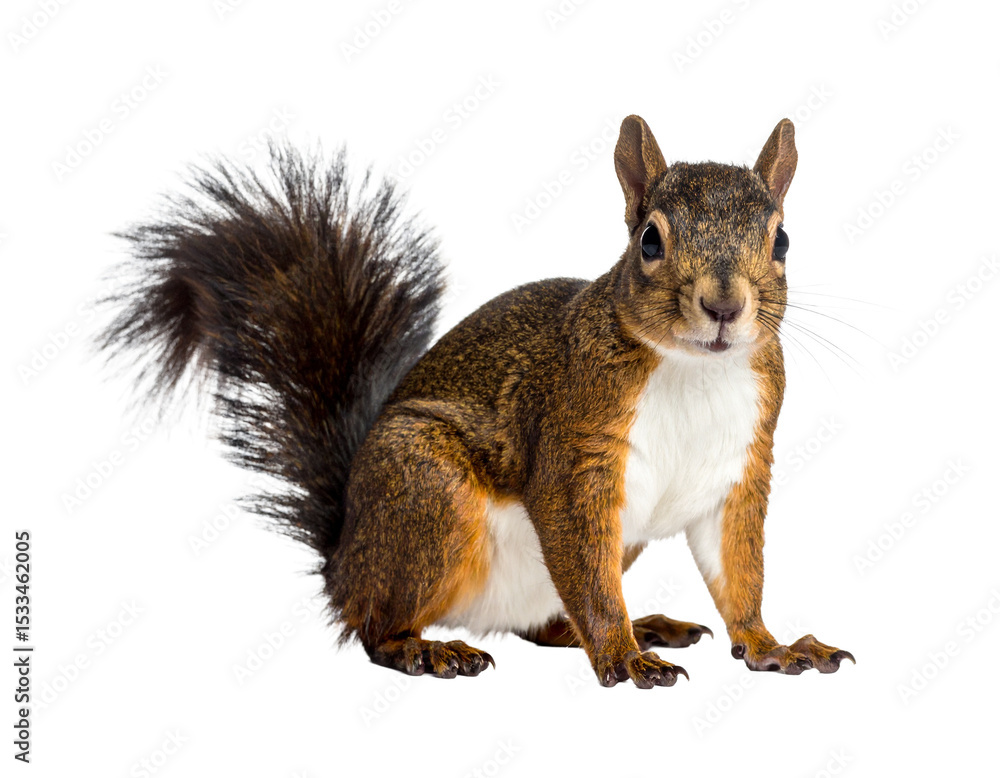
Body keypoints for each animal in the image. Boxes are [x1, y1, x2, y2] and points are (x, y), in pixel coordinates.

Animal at [99, 115, 854, 688]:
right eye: (649, 241)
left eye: (782, 239)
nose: (724, 307)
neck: (696, 369)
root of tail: (345, 556)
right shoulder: (575, 451)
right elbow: (587, 569)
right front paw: (621, 657)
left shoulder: (742, 468)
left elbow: (739, 572)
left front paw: (771, 645)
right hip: (425, 494)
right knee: (372, 625)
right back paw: (426, 648)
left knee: (548, 627)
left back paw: (645, 623)